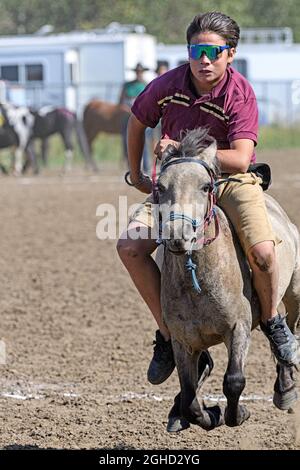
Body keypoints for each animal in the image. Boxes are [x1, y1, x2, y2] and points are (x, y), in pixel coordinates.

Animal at [156, 126, 298, 432]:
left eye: (205, 187)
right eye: (160, 187)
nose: (178, 235)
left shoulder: (238, 327)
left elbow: (234, 381)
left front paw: (236, 413)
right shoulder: (183, 342)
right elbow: (189, 397)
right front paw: (209, 414)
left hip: (294, 292)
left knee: (286, 330)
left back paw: (286, 386)